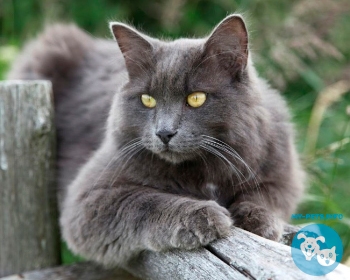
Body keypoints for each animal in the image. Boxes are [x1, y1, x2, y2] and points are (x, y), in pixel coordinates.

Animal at [7, 13, 304, 266]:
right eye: (147, 100)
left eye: (196, 98)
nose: (164, 132)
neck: (203, 169)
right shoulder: (89, 198)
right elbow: (145, 201)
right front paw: (202, 216)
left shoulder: (281, 171)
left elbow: (266, 195)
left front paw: (257, 219)